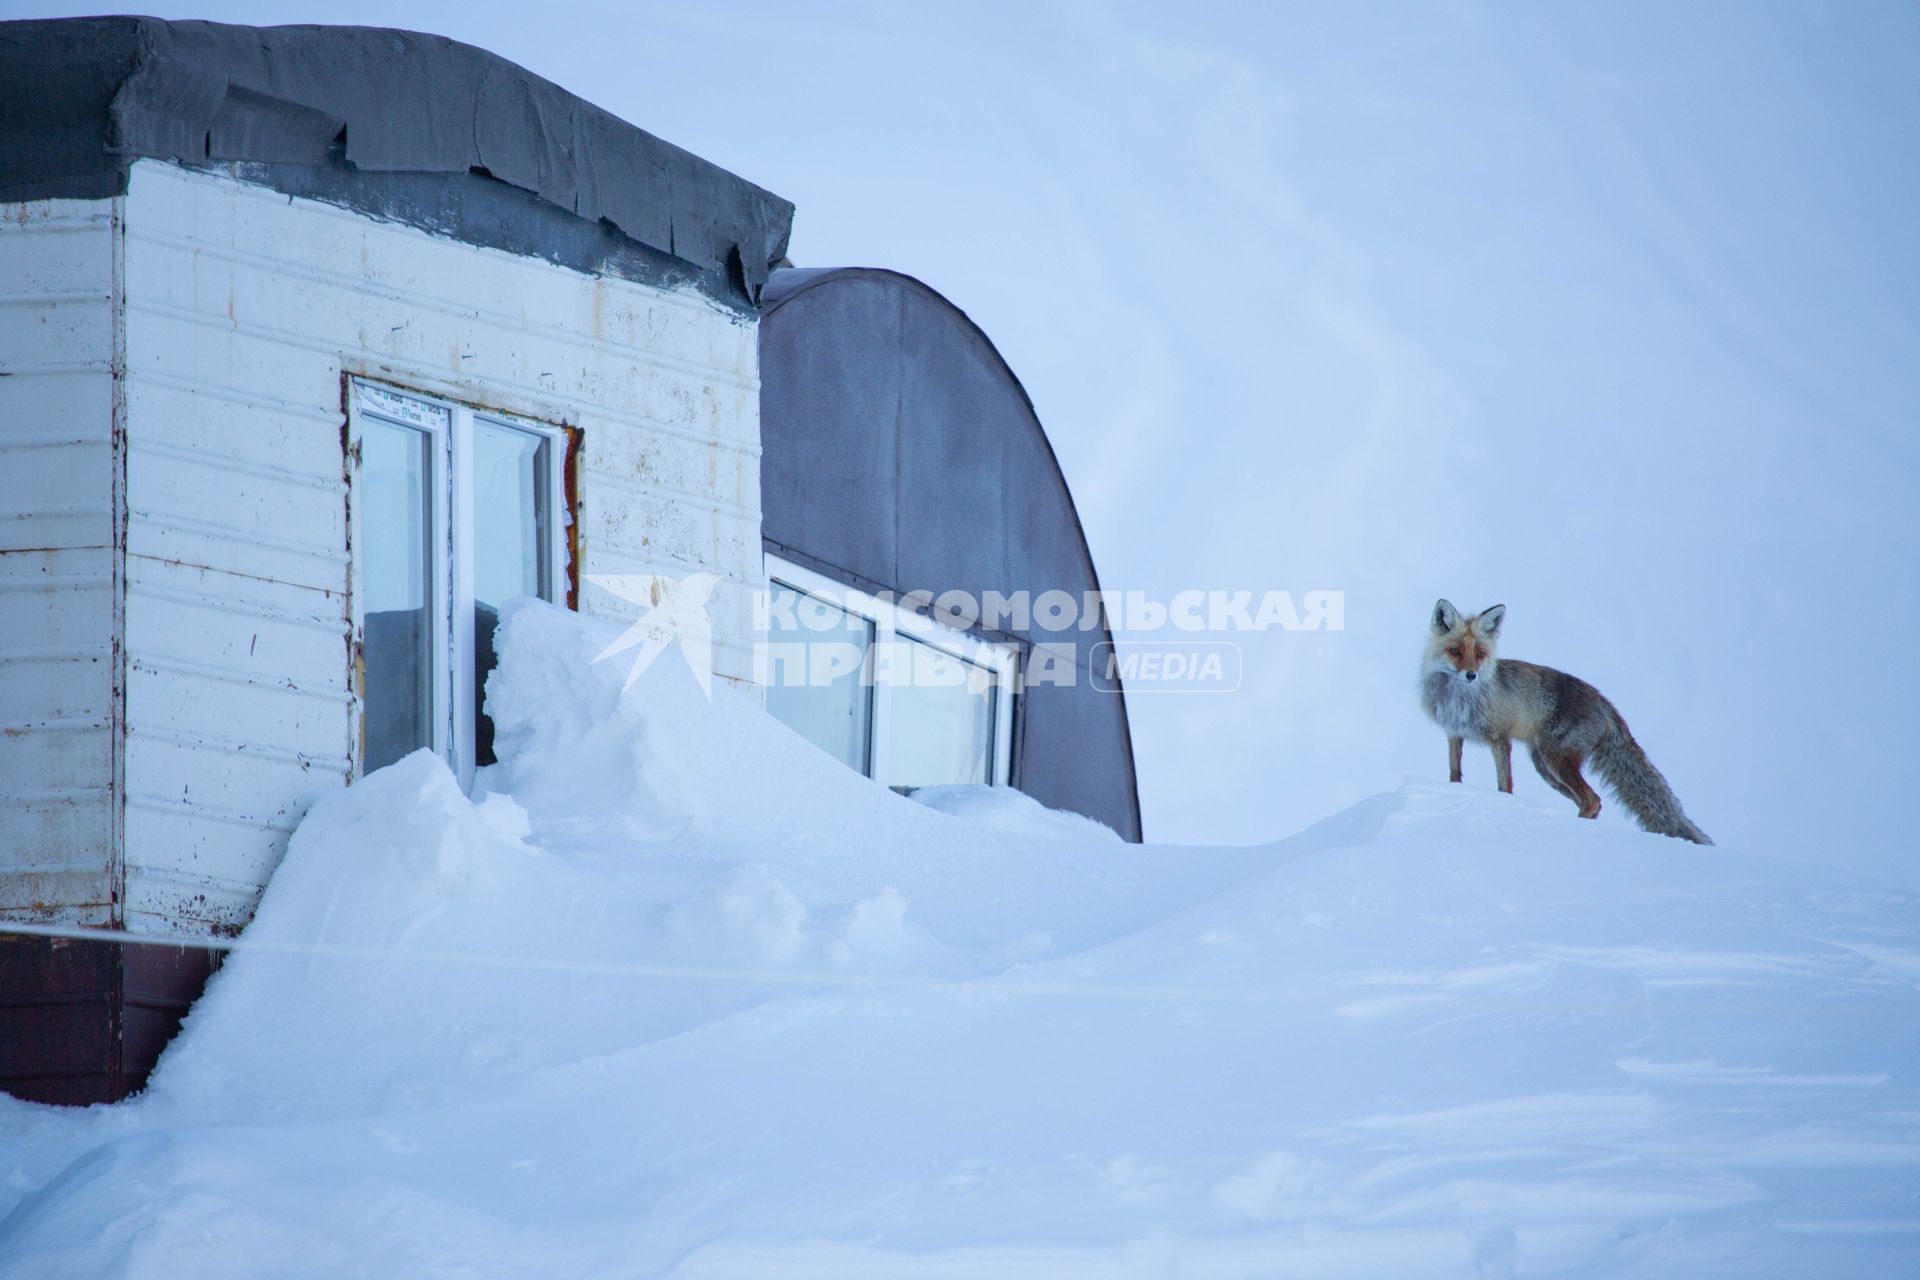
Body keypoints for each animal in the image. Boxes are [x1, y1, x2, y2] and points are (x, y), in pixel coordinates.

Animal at [1428, 602, 1712, 844]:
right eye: (1455, 651)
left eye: (1480, 654)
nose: (1471, 675)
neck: (1459, 700)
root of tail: (1603, 700)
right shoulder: (1454, 732)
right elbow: (1455, 773)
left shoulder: (1500, 738)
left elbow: (1504, 785)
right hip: (1547, 769)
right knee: (1593, 802)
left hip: (1555, 760)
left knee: (1592, 800)